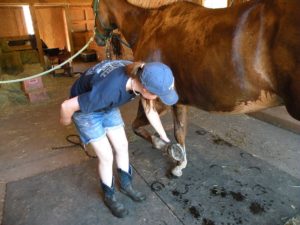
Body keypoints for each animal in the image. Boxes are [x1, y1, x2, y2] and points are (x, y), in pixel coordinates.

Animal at [92, 0, 298, 177]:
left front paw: (167, 148)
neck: (148, 26)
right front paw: (180, 164)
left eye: (94, 7)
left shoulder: (155, 101)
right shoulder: (178, 101)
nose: (98, 39)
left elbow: (138, 127)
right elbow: (179, 132)